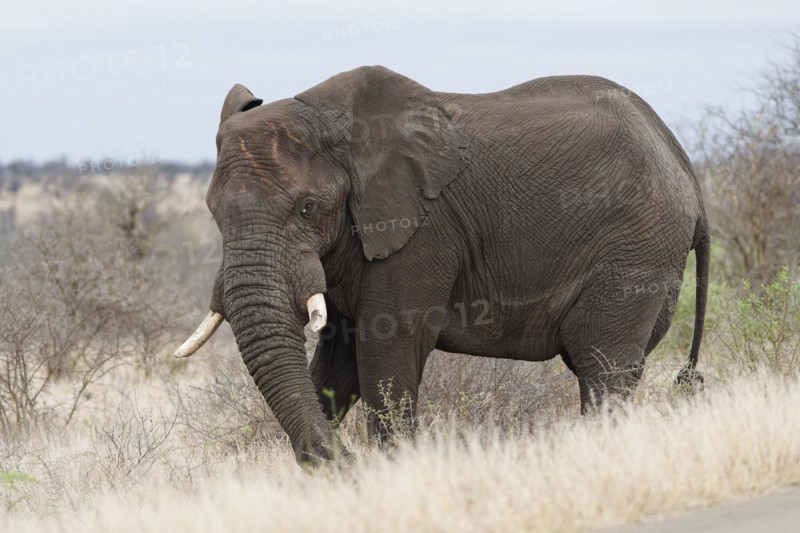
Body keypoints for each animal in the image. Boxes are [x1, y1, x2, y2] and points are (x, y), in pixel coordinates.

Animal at [174, 66, 710, 465]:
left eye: (308, 208)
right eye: (213, 212)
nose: (341, 460)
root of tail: (683, 161)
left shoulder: (423, 229)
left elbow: (387, 348)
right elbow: (338, 360)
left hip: (638, 247)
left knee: (603, 368)